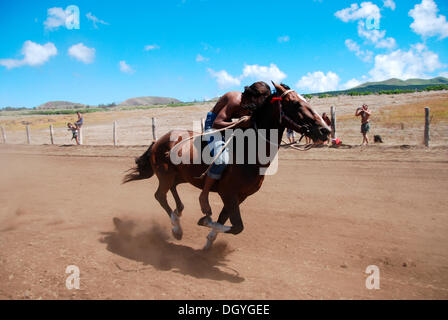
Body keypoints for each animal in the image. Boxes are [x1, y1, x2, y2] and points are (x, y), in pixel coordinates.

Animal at [122, 82, 328, 250]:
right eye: (295, 103)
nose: (325, 130)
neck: (250, 151)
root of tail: (158, 140)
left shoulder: (240, 196)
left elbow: (225, 220)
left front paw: (209, 241)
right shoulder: (228, 193)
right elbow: (237, 227)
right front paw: (205, 221)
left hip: (178, 176)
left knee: (172, 192)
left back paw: (179, 216)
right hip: (165, 174)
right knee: (160, 195)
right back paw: (177, 227)